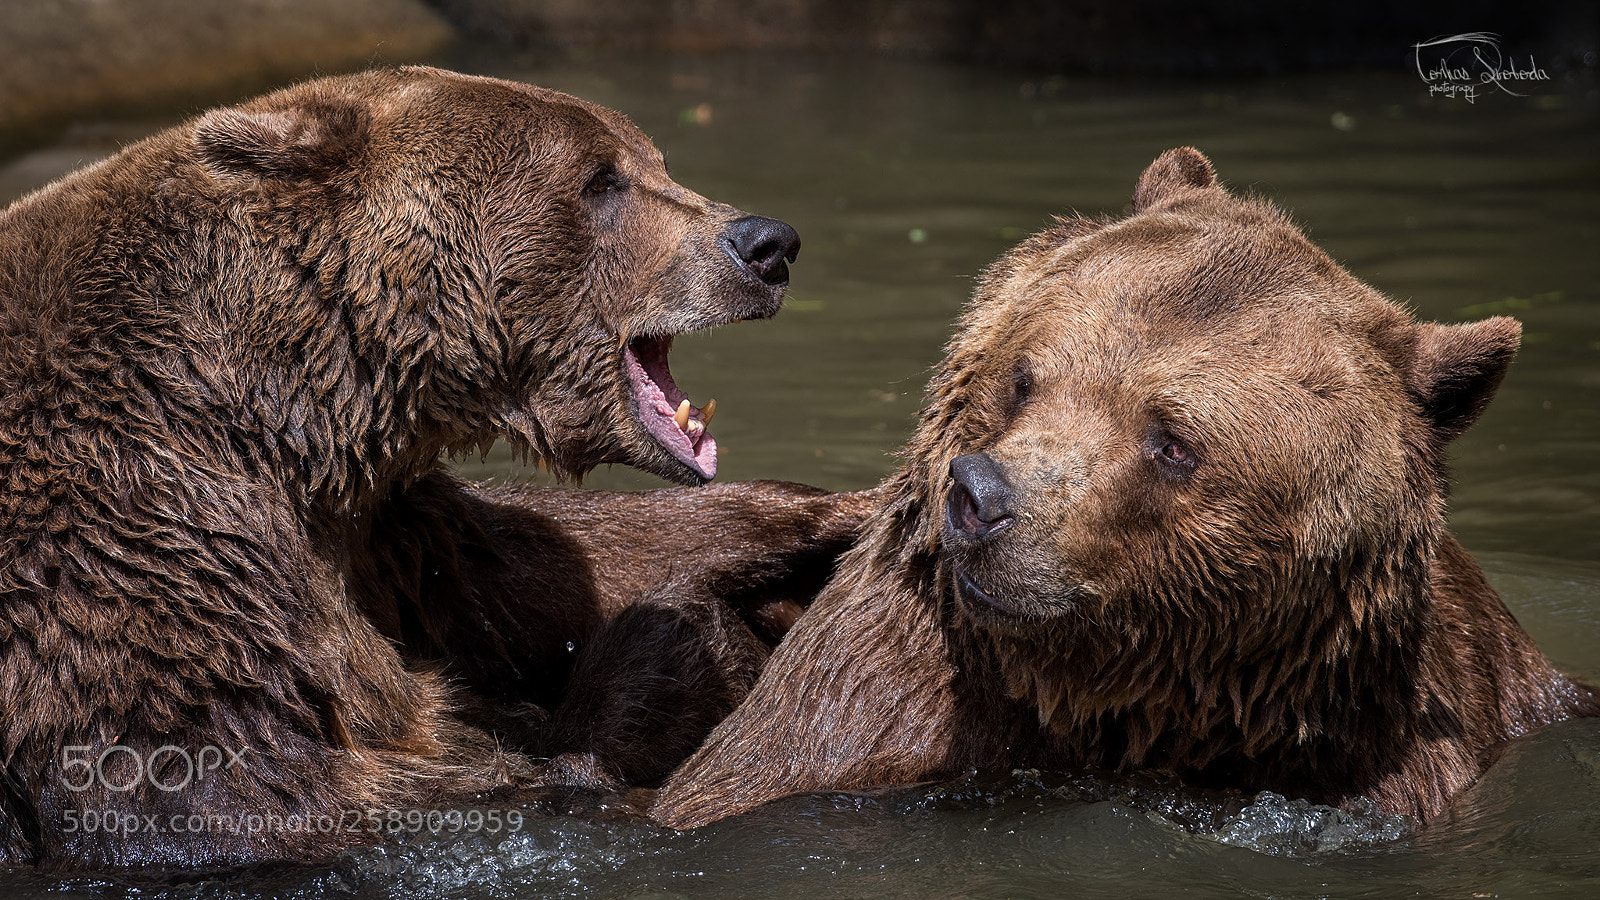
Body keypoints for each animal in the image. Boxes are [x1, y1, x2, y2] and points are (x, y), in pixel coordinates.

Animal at [0, 65, 870, 868]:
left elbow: (539, 567)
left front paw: (825, 519)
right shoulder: (135, 545)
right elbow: (253, 791)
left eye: (653, 160)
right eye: (600, 178)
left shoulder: (381, 525)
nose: (766, 245)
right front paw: (682, 642)